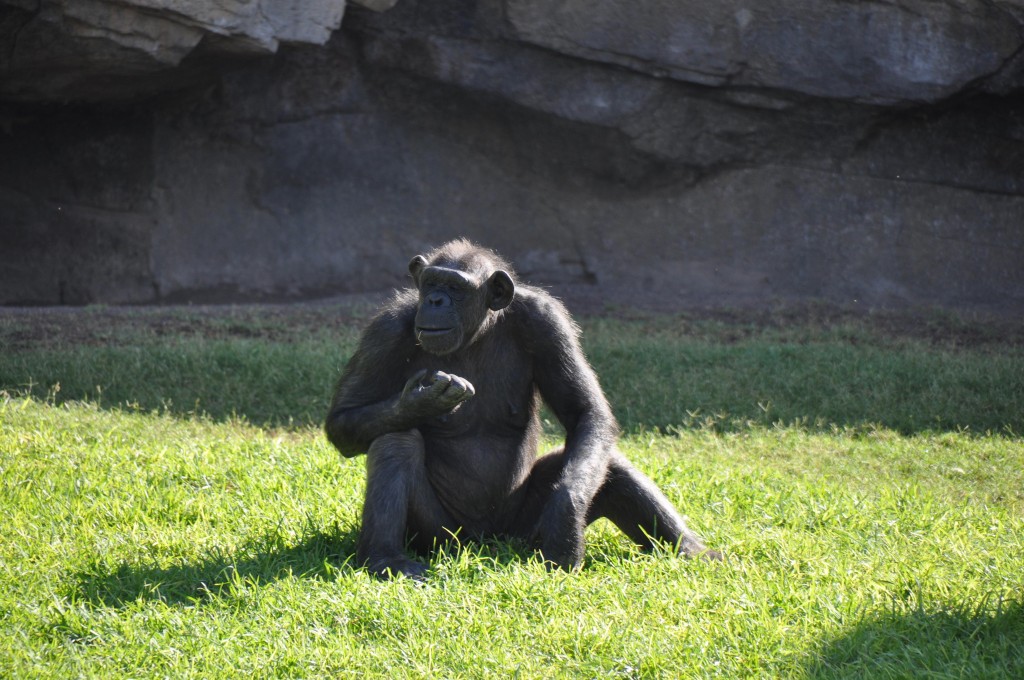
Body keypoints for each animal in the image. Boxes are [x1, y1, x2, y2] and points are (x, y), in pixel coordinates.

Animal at [323, 238, 716, 577]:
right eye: (431, 282)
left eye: (456, 288)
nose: (434, 300)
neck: (479, 331)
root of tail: (485, 543)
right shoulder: (385, 329)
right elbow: (343, 420)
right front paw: (421, 400)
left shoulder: (546, 321)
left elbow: (585, 413)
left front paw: (566, 518)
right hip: (440, 537)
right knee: (396, 442)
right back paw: (386, 559)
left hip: (521, 532)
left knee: (611, 465)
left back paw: (695, 553)